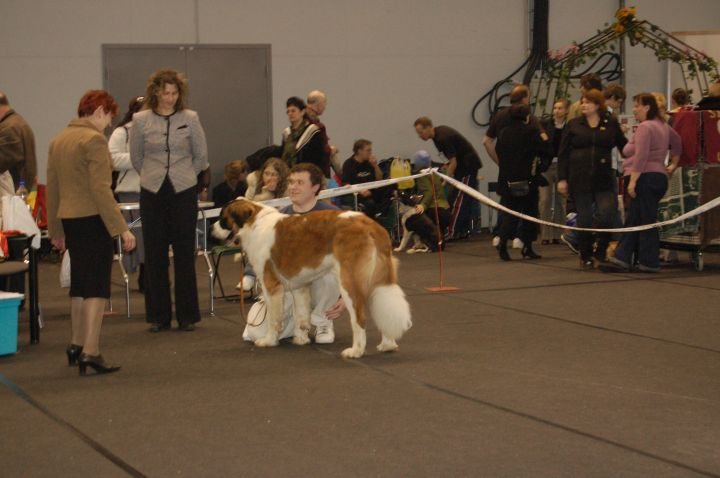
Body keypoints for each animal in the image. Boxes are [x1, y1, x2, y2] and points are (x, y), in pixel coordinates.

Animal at [213, 198, 412, 358]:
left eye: (223, 218)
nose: (211, 229)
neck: (254, 223)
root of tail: (371, 225)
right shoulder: (299, 286)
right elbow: (301, 316)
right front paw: (301, 339)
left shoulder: (271, 286)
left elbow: (273, 318)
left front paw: (268, 341)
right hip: (379, 281)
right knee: (383, 307)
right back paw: (388, 345)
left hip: (349, 281)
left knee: (359, 317)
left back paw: (356, 351)